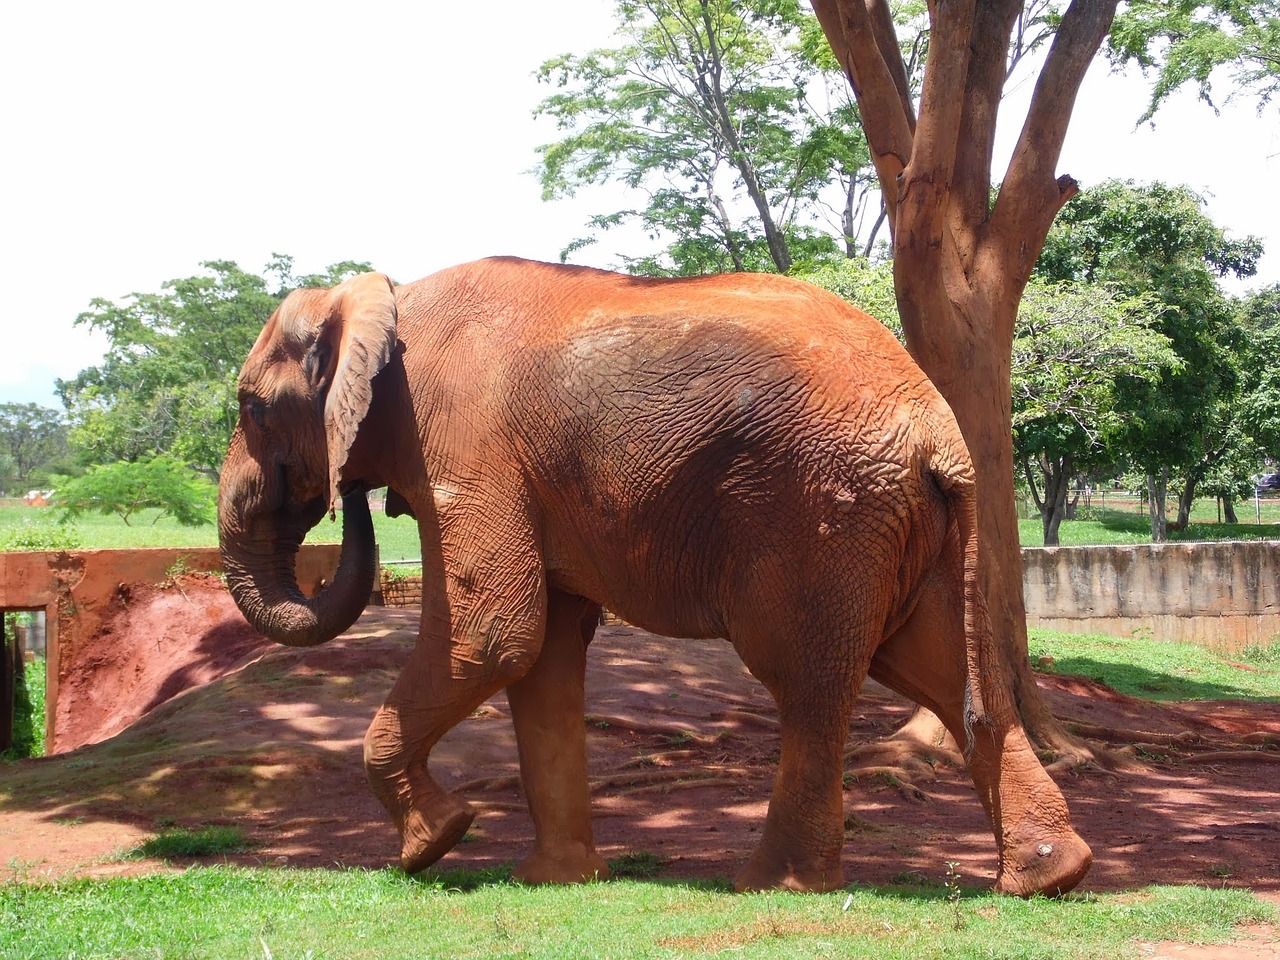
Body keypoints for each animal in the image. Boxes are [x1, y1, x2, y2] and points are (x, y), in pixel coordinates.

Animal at [217, 256, 1090, 896]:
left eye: (251, 408)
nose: (347, 499)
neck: (382, 296)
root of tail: (940, 429)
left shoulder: (461, 440)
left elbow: (495, 634)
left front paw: (432, 845)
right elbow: (543, 654)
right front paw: (554, 881)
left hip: (821, 509)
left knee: (808, 680)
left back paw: (770, 886)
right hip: (905, 525)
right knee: (935, 667)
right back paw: (1048, 877)